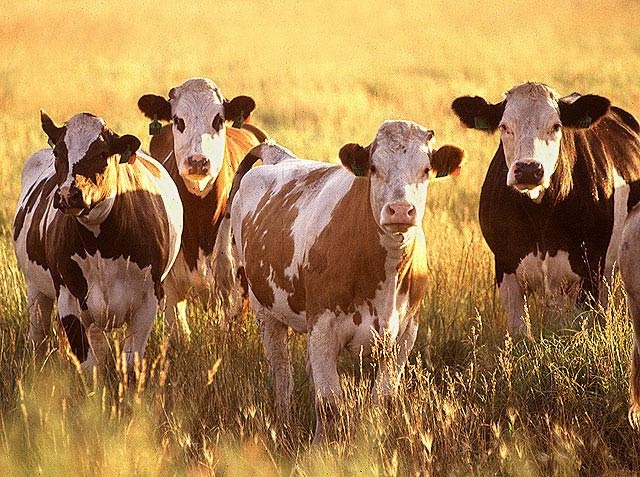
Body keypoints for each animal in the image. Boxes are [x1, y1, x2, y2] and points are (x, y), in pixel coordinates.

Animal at [13, 112, 183, 370]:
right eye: (58, 152)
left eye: (102, 153)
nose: (68, 194)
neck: (101, 246)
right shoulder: (69, 300)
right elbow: (90, 365)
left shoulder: (148, 301)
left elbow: (130, 362)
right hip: (36, 290)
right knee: (39, 336)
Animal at [222, 121, 464, 440]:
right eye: (374, 167)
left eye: (426, 169)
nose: (400, 210)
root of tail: (280, 156)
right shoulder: (323, 328)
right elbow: (330, 404)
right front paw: (321, 447)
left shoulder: (404, 336)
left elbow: (382, 399)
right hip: (266, 310)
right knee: (282, 373)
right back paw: (284, 422)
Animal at [451, 82, 640, 334]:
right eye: (504, 126)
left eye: (556, 126)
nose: (529, 169)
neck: (539, 215)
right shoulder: (505, 268)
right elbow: (520, 333)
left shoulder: (590, 270)